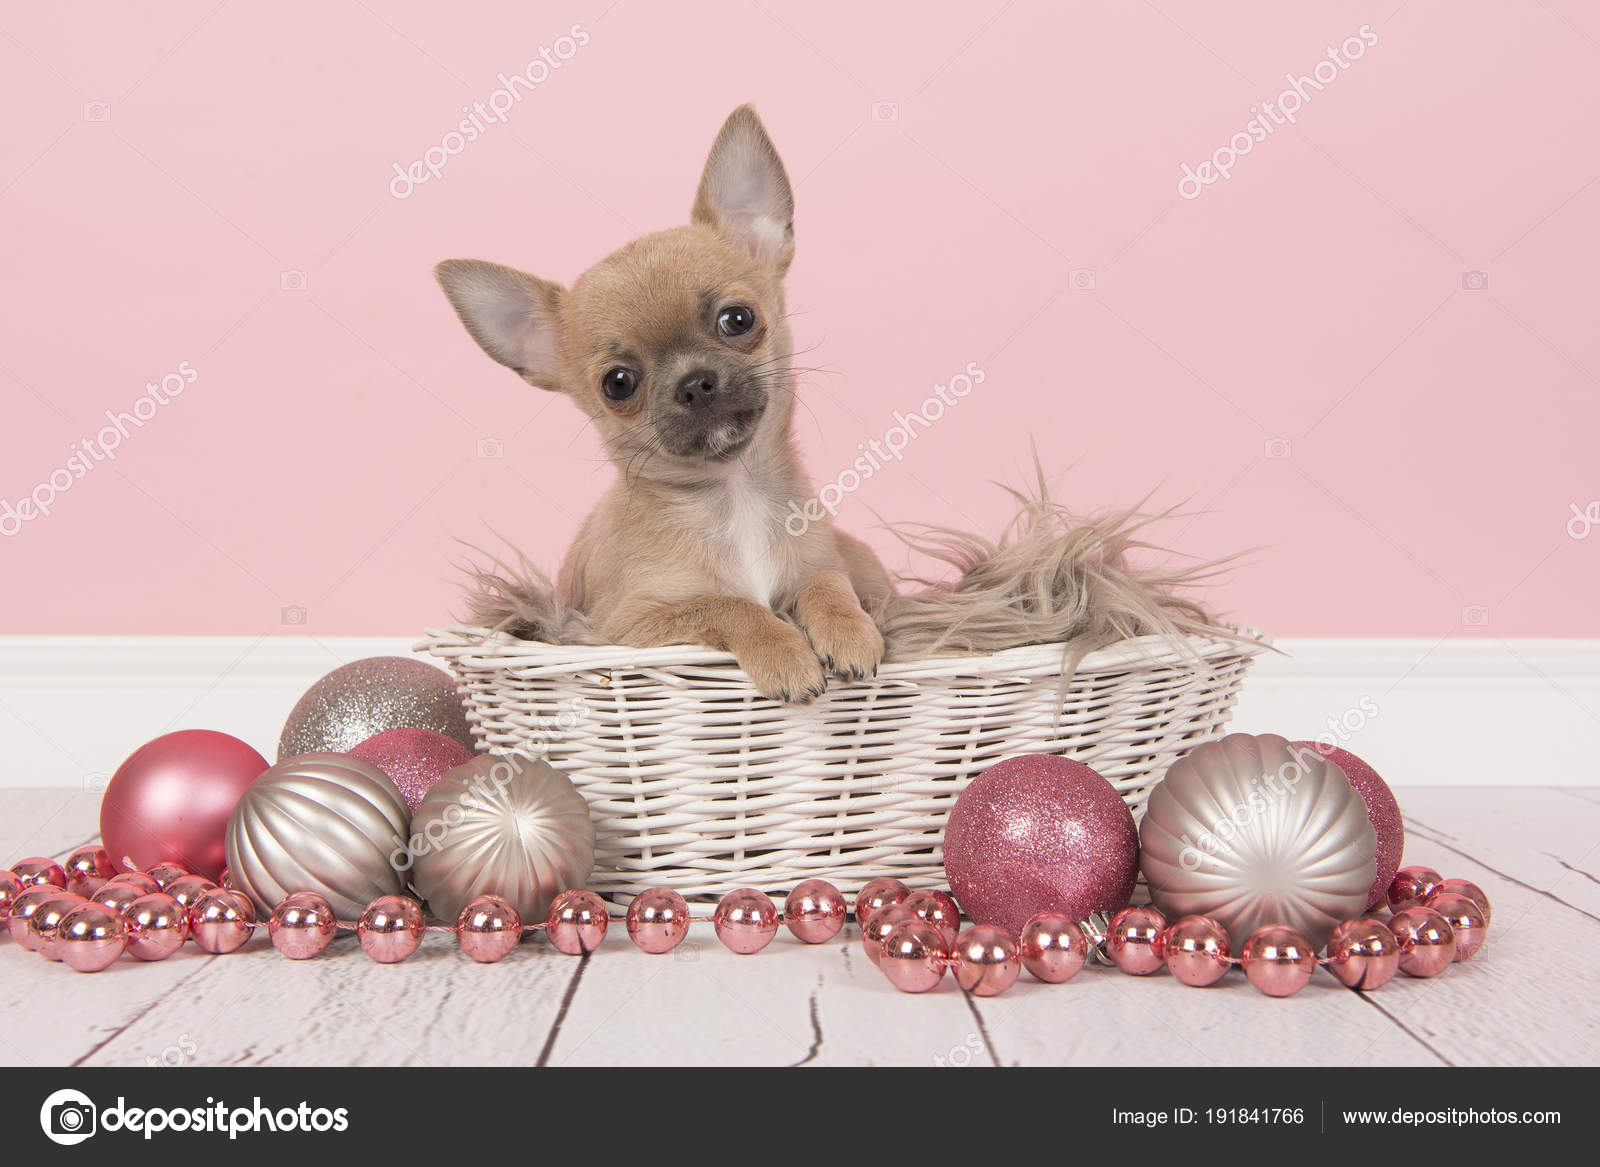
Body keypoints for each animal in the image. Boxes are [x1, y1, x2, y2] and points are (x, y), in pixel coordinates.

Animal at [435, 104, 889, 701]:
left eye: (737, 319)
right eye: (618, 383)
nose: (694, 382)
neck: (734, 496)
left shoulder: (820, 560)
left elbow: (826, 581)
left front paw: (848, 628)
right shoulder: (624, 627)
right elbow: (728, 604)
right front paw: (784, 652)